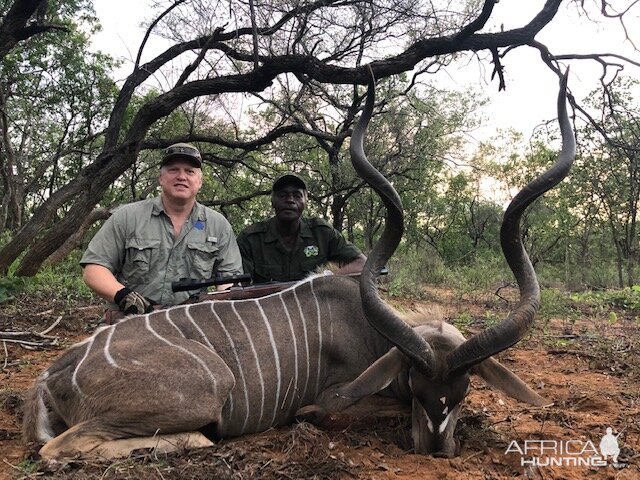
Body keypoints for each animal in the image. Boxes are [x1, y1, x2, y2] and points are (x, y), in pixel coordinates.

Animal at [23, 72, 576, 462]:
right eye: (418, 388)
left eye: (462, 391)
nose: (436, 449)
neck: (372, 332)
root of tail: (52, 375)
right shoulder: (340, 398)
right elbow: (330, 411)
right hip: (207, 388)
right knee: (58, 448)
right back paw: (199, 440)